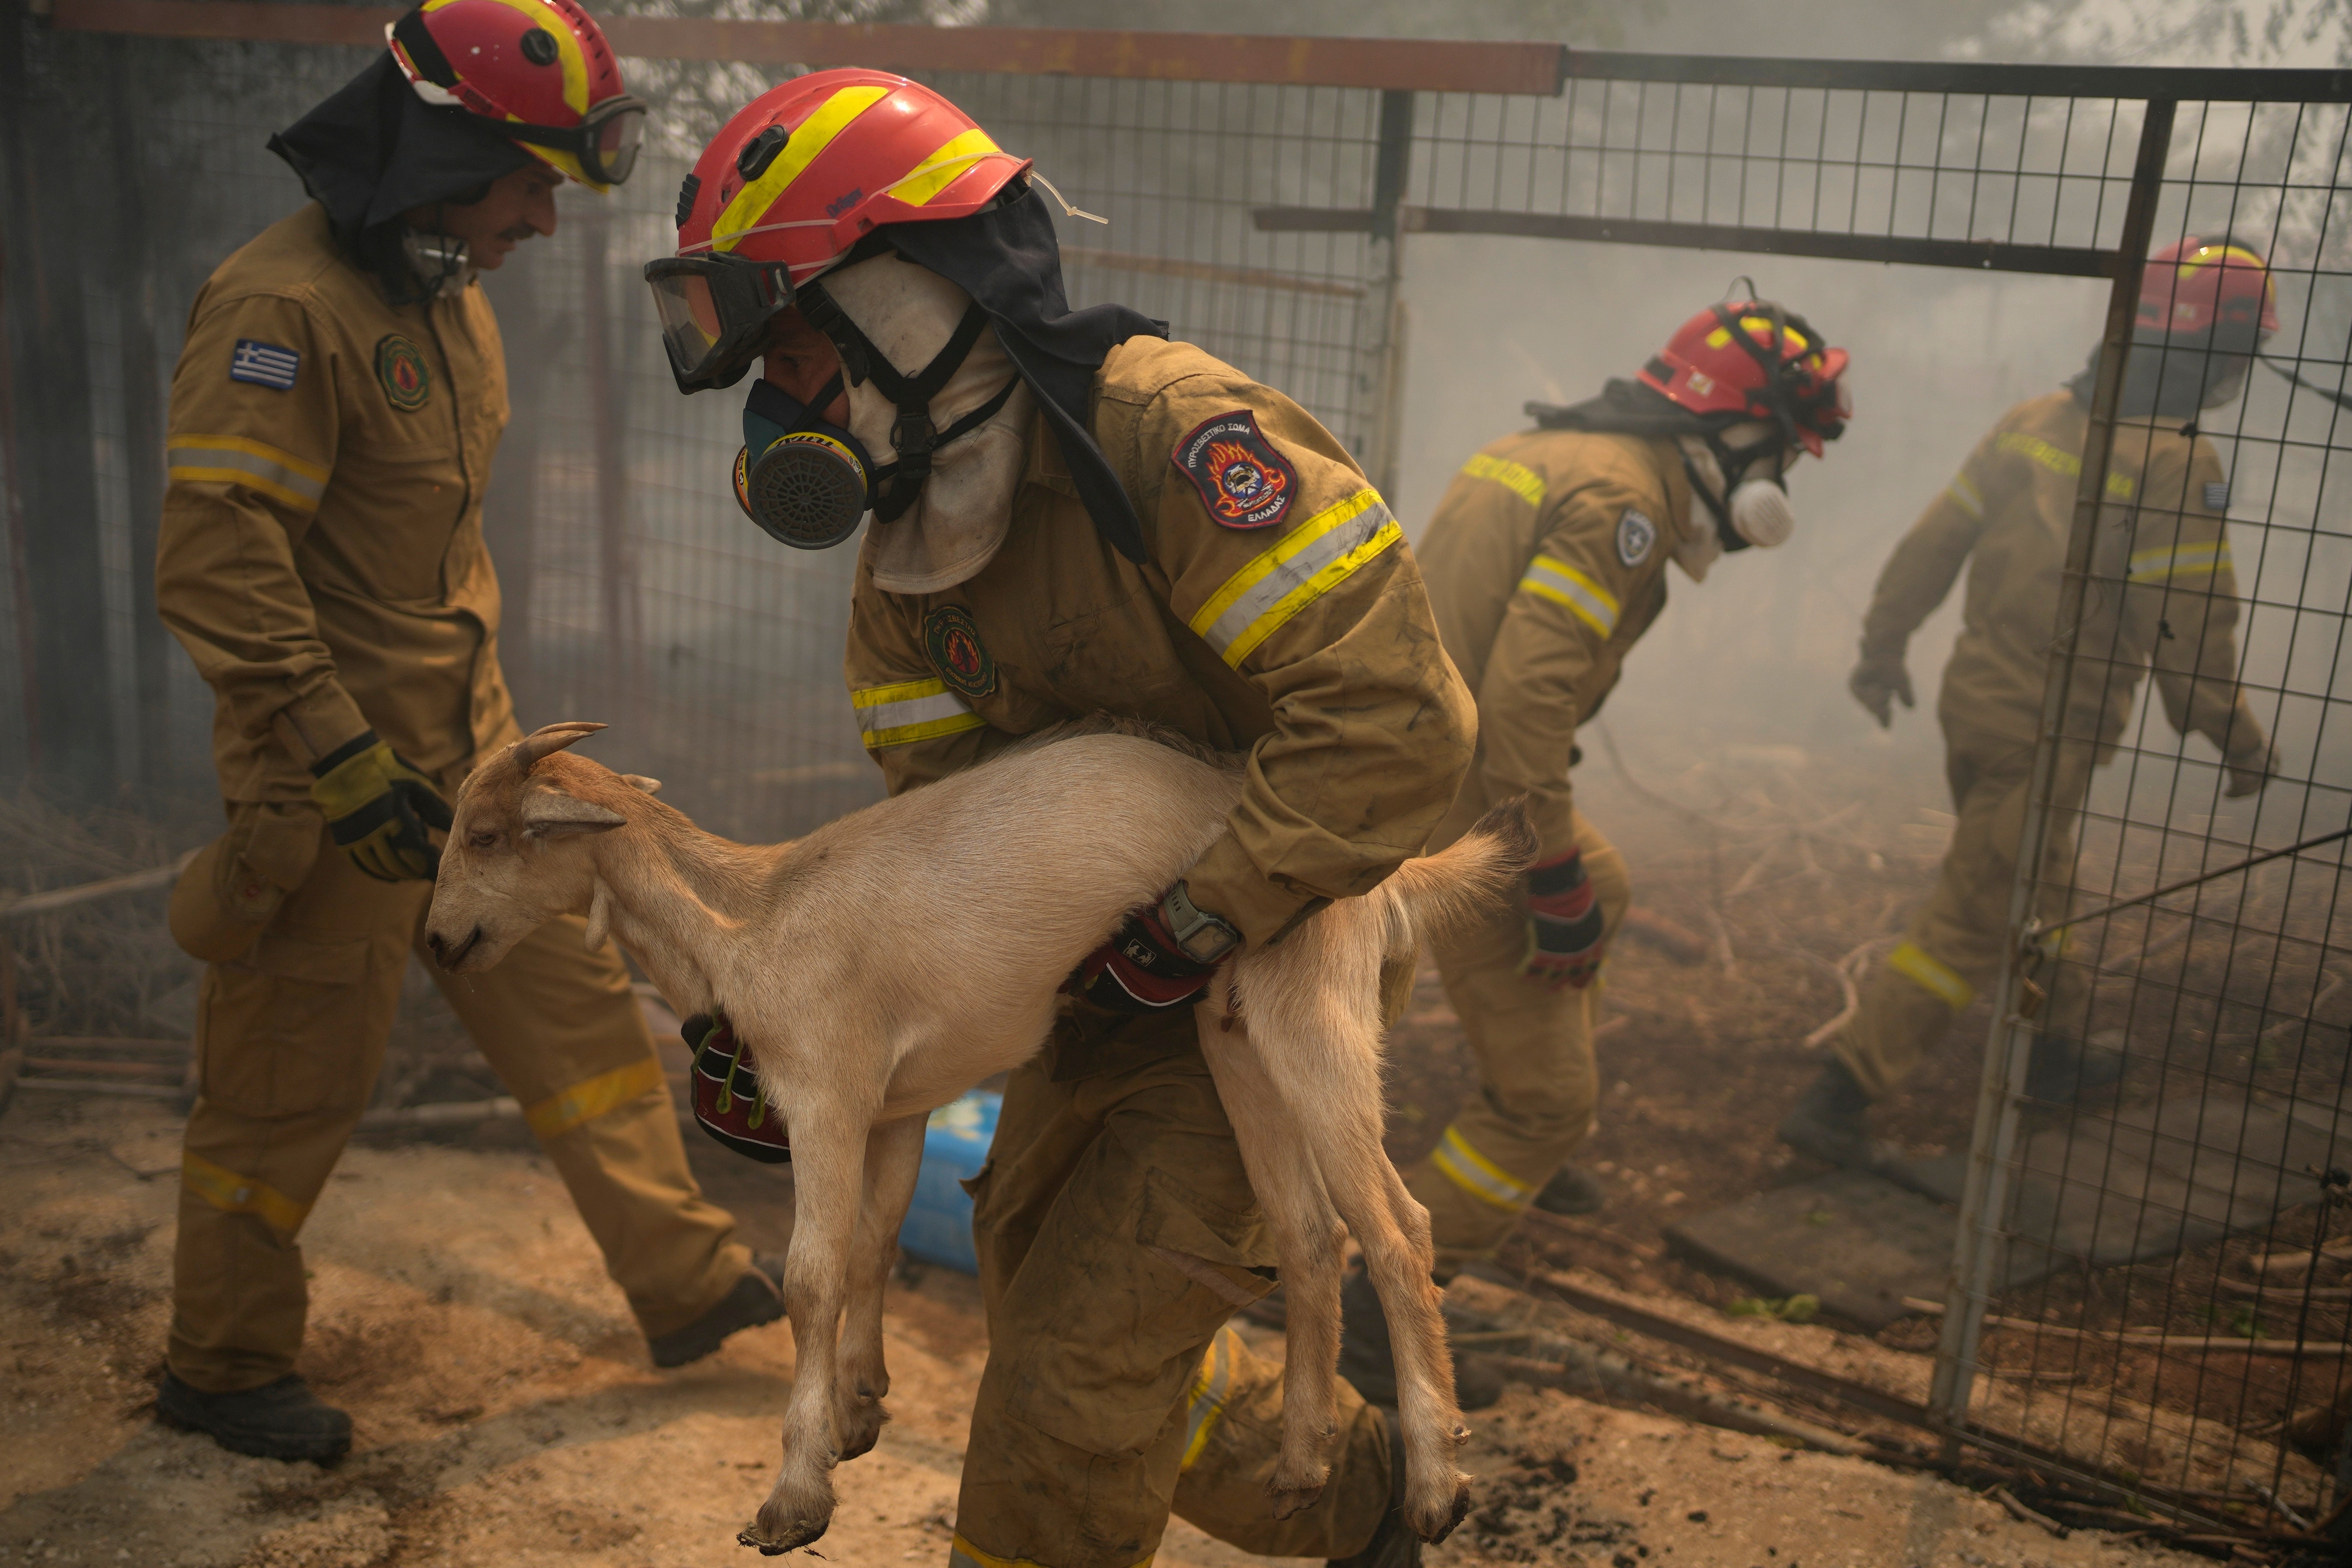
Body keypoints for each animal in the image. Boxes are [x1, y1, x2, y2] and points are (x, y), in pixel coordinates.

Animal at [425, 724, 1534, 1561]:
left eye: (484, 834)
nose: (436, 942)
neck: (754, 917)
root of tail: (1384, 876)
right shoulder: (895, 1107)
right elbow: (872, 1247)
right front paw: (860, 1409)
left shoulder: (826, 1094)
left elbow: (811, 1276)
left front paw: (794, 1493)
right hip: (1235, 1034)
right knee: (1308, 1237)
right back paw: (1304, 1464)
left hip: (1317, 1015)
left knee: (1396, 1227)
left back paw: (1435, 1485)